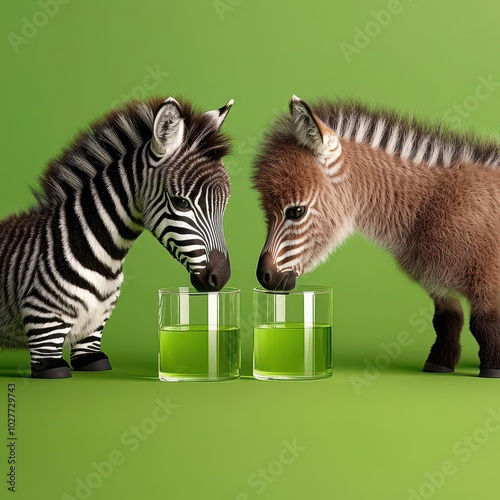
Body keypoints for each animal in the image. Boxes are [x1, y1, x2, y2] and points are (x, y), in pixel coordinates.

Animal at [0, 96, 234, 378]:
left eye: (224, 205)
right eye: (181, 203)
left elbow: (94, 358)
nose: (221, 277)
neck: (102, 255)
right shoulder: (43, 330)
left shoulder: (92, 338)